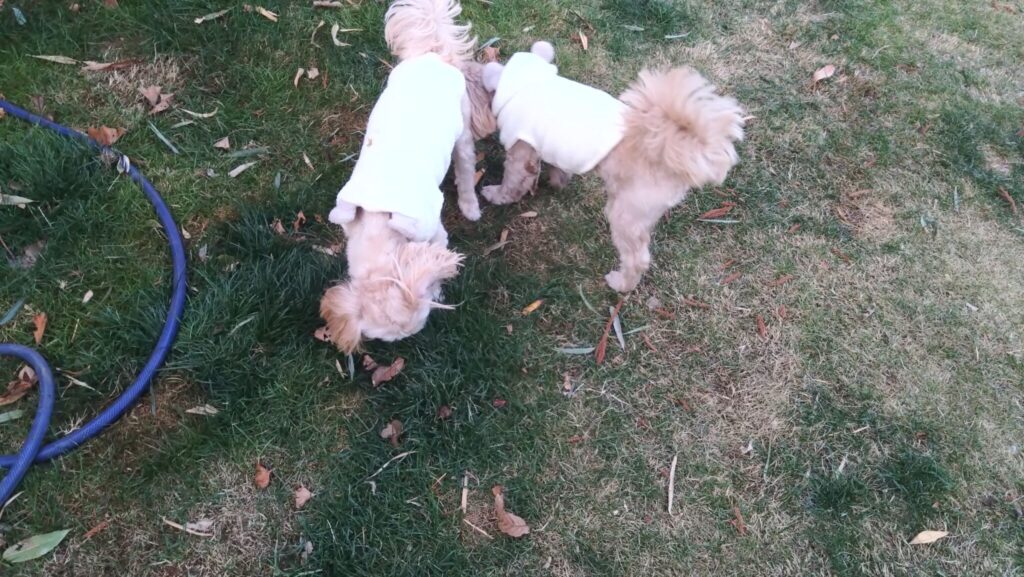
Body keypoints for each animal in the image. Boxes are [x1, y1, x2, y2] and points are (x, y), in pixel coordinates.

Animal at [319, 0, 483, 353]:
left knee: (465, 166)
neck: (378, 225)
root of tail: (432, 55)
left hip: (462, 130)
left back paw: (470, 205)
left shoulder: (433, 232)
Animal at [478, 41, 745, 292]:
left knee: (637, 259)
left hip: (625, 214)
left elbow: (512, 181)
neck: (530, 82)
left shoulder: (519, 150)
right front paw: (558, 181)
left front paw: (496, 194)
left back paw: (621, 283)